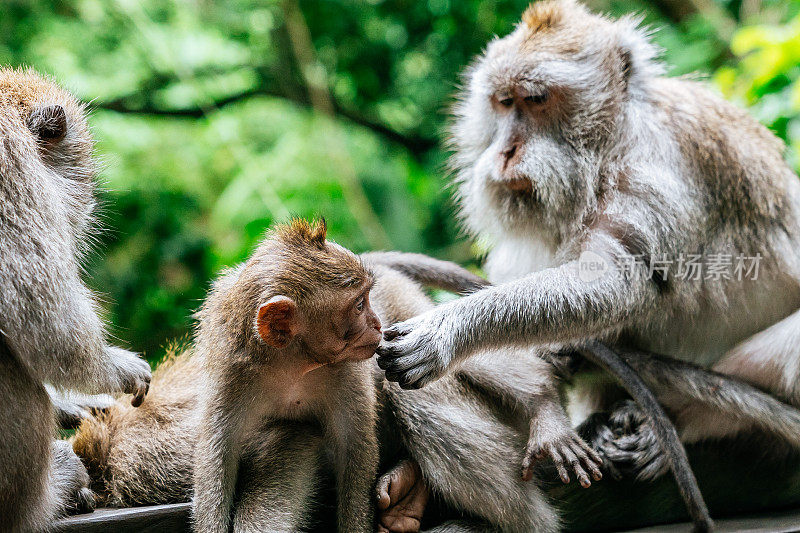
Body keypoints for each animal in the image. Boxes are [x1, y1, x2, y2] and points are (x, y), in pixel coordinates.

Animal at [73, 217, 800, 532]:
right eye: (347, 312)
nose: (369, 326)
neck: (291, 363)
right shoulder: (232, 371)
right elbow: (219, 457)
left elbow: (313, 441)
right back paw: (409, 495)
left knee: (422, 376)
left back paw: (540, 427)